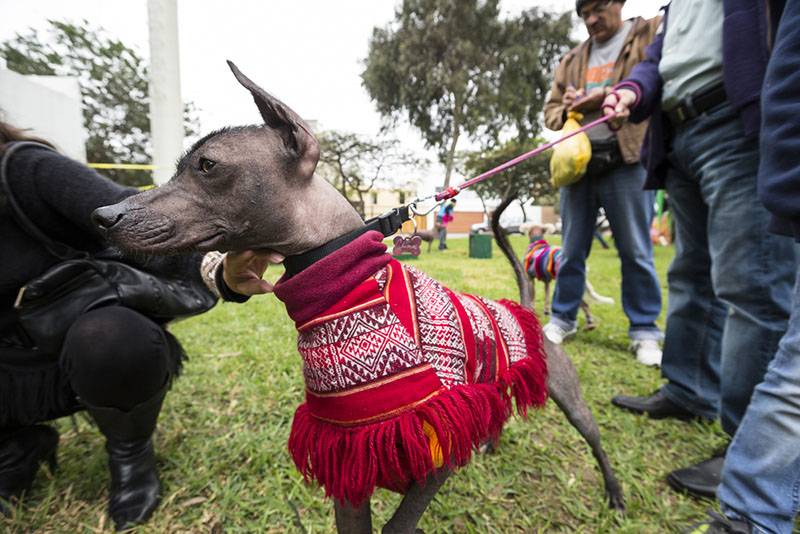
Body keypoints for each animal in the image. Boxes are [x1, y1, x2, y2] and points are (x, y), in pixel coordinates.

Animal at [90, 61, 620, 532]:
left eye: (207, 165)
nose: (103, 215)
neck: (346, 288)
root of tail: (526, 311)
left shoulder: (435, 455)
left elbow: (399, 524)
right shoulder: (348, 456)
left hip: (570, 398)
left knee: (595, 440)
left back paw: (614, 492)